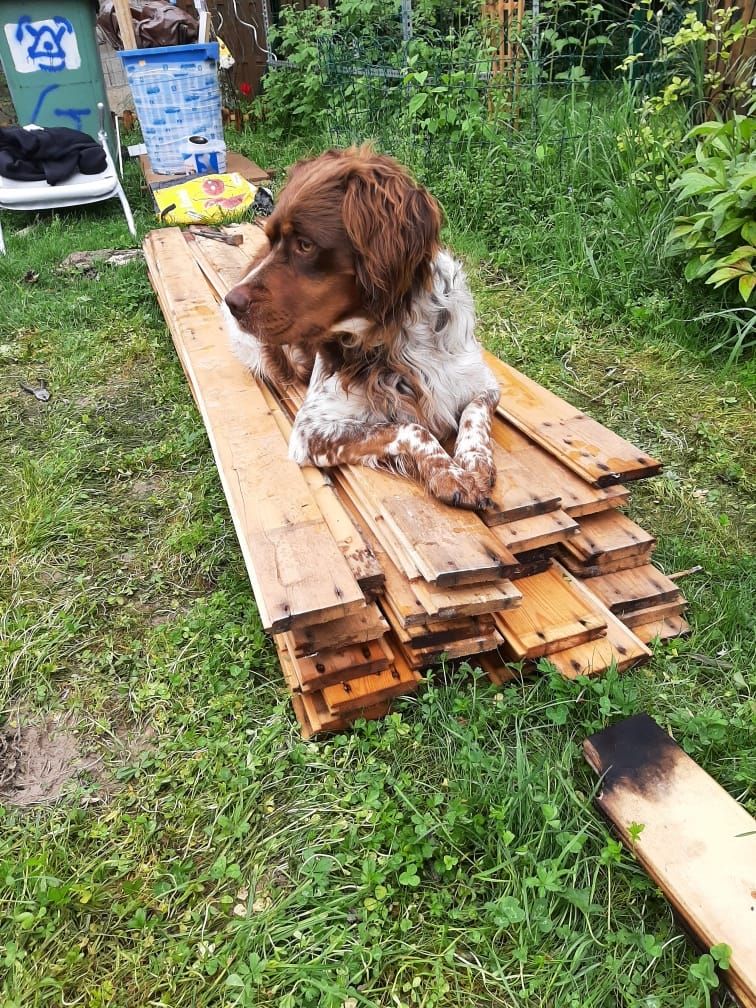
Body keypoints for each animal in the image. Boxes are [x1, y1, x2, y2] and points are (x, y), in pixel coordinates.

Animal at [221, 146, 499, 508]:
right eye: (271, 238)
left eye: (305, 244)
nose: (231, 302)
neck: (399, 332)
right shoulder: (310, 430)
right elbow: (410, 428)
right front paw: (448, 473)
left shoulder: (484, 382)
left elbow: (474, 413)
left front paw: (474, 462)